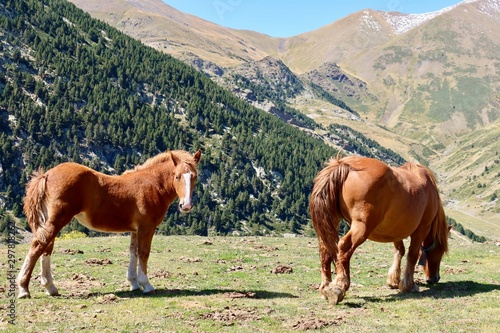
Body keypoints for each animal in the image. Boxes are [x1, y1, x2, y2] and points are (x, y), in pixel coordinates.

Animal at [17, 149, 201, 296]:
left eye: (194, 177)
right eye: (177, 176)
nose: (186, 205)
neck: (153, 185)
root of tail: (46, 175)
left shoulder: (135, 229)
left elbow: (133, 252)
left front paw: (134, 283)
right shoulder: (146, 227)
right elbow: (143, 253)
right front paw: (147, 285)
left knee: (46, 248)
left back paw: (51, 288)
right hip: (57, 220)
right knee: (38, 246)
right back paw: (24, 289)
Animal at [308, 155, 450, 304]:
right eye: (440, 251)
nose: (434, 278)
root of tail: (344, 164)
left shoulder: (396, 230)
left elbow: (400, 251)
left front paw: (394, 280)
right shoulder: (422, 228)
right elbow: (412, 254)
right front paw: (409, 285)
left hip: (331, 221)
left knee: (325, 249)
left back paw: (326, 287)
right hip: (362, 227)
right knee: (344, 247)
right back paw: (339, 287)